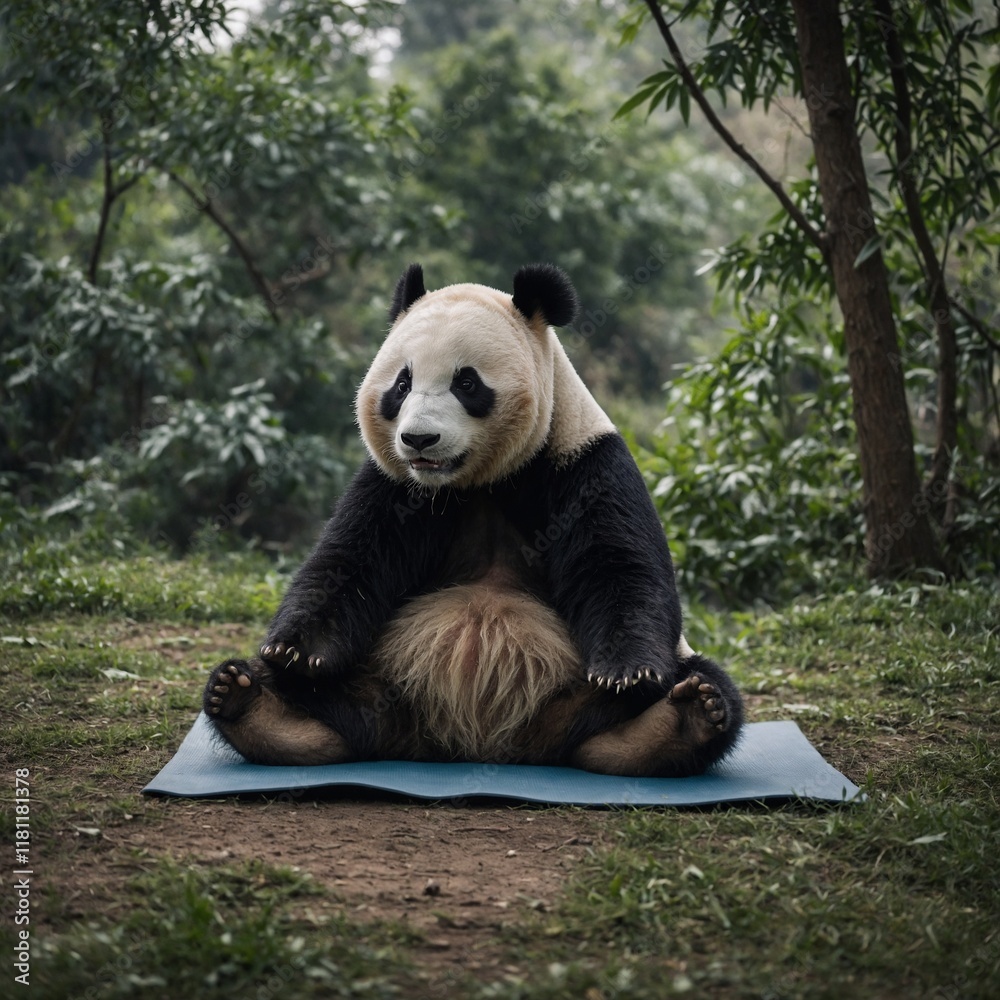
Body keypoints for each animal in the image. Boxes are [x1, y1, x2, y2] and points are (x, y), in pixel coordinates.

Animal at [203, 263, 744, 777]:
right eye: (402, 384)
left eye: (466, 382)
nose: (418, 440)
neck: (476, 482)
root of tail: (476, 741)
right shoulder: (395, 485)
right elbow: (349, 559)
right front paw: (296, 650)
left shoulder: (582, 461)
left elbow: (618, 563)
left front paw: (626, 671)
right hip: (378, 675)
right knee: (321, 703)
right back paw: (252, 705)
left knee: (694, 691)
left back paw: (679, 721)